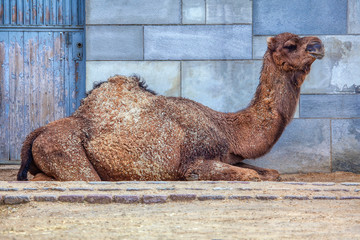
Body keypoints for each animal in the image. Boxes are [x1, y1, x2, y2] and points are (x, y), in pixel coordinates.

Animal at [17, 32, 326, 181]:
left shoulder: (227, 156)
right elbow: (252, 176)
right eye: (289, 45)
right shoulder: (193, 160)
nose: (318, 45)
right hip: (66, 153)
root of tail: (36, 133)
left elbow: (271, 173)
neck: (228, 129)